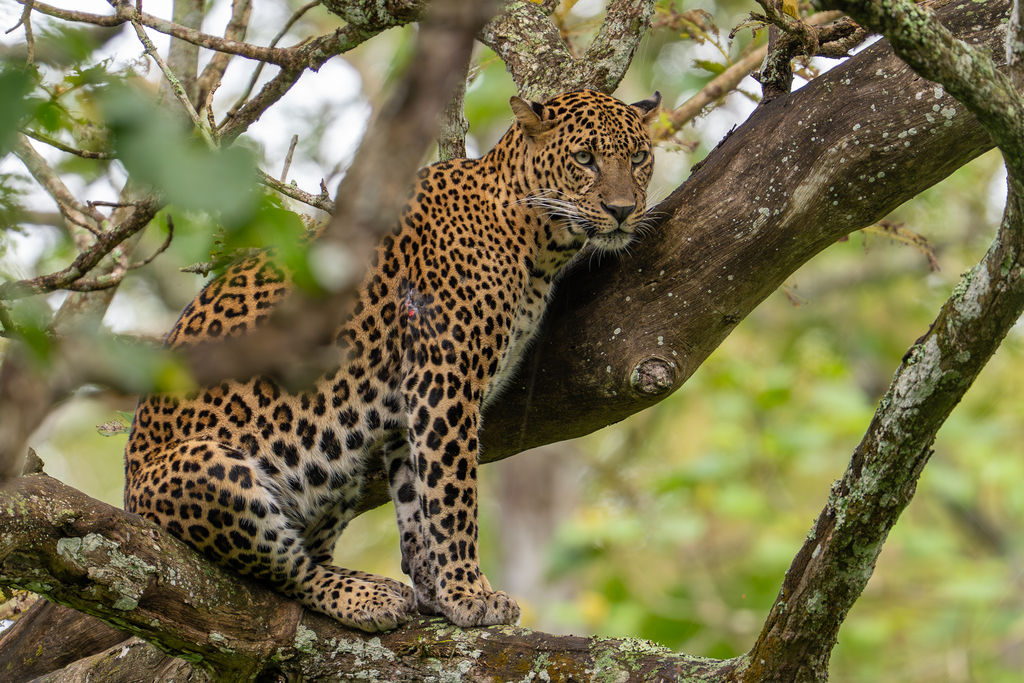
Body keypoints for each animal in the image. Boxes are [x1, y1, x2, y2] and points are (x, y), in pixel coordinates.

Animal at [124, 89, 661, 632]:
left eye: (639, 157)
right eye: (584, 158)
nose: (622, 210)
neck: (537, 240)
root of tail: (129, 498)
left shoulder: (411, 404)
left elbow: (417, 501)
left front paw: (436, 591)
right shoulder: (444, 380)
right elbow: (453, 498)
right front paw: (470, 593)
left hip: (337, 473)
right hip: (211, 467)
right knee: (286, 570)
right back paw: (365, 594)